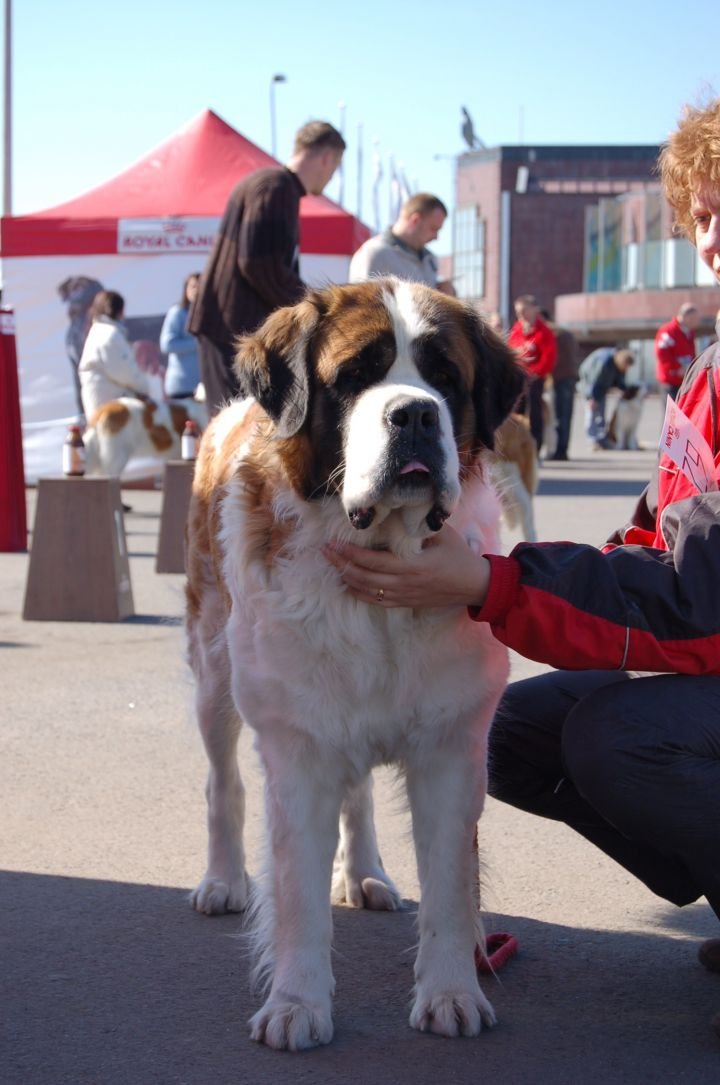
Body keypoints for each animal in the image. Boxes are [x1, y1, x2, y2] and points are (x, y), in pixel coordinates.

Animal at [184, 279, 522, 1050]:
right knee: (222, 781)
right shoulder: (299, 753)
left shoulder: (452, 752)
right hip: (214, 669)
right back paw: (222, 880)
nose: (414, 413)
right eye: (355, 377)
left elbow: (452, 890)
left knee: (359, 793)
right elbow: (297, 899)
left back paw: (365, 872)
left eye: (445, 378)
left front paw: (451, 993)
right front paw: (296, 1004)